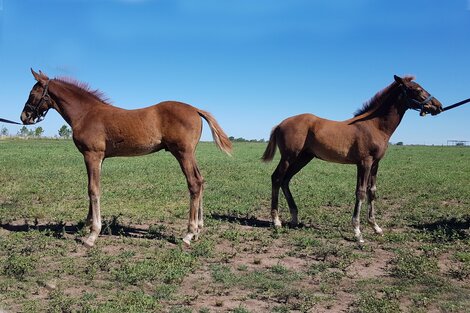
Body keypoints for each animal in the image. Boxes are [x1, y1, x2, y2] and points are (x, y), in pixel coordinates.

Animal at [21, 69, 232, 247]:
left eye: (32, 93)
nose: (24, 116)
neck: (86, 114)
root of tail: (195, 109)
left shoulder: (92, 155)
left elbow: (93, 190)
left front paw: (92, 235)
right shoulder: (99, 159)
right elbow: (92, 188)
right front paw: (86, 224)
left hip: (183, 153)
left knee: (194, 183)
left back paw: (188, 233)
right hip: (189, 154)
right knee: (201, 180)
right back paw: (198, 230)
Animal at [262, 75, 442, 241]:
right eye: (417, 89)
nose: (438, 106)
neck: (375, 125)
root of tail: (280, 124)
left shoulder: (375, 164)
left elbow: (372, 192)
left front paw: (376, 227)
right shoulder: (364, 162)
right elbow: (360, 192)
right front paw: (357, 232)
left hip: (303, 158)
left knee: (286, 180)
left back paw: (294, 218)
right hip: (288, 157)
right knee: (277, 178)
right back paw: (276, 221)